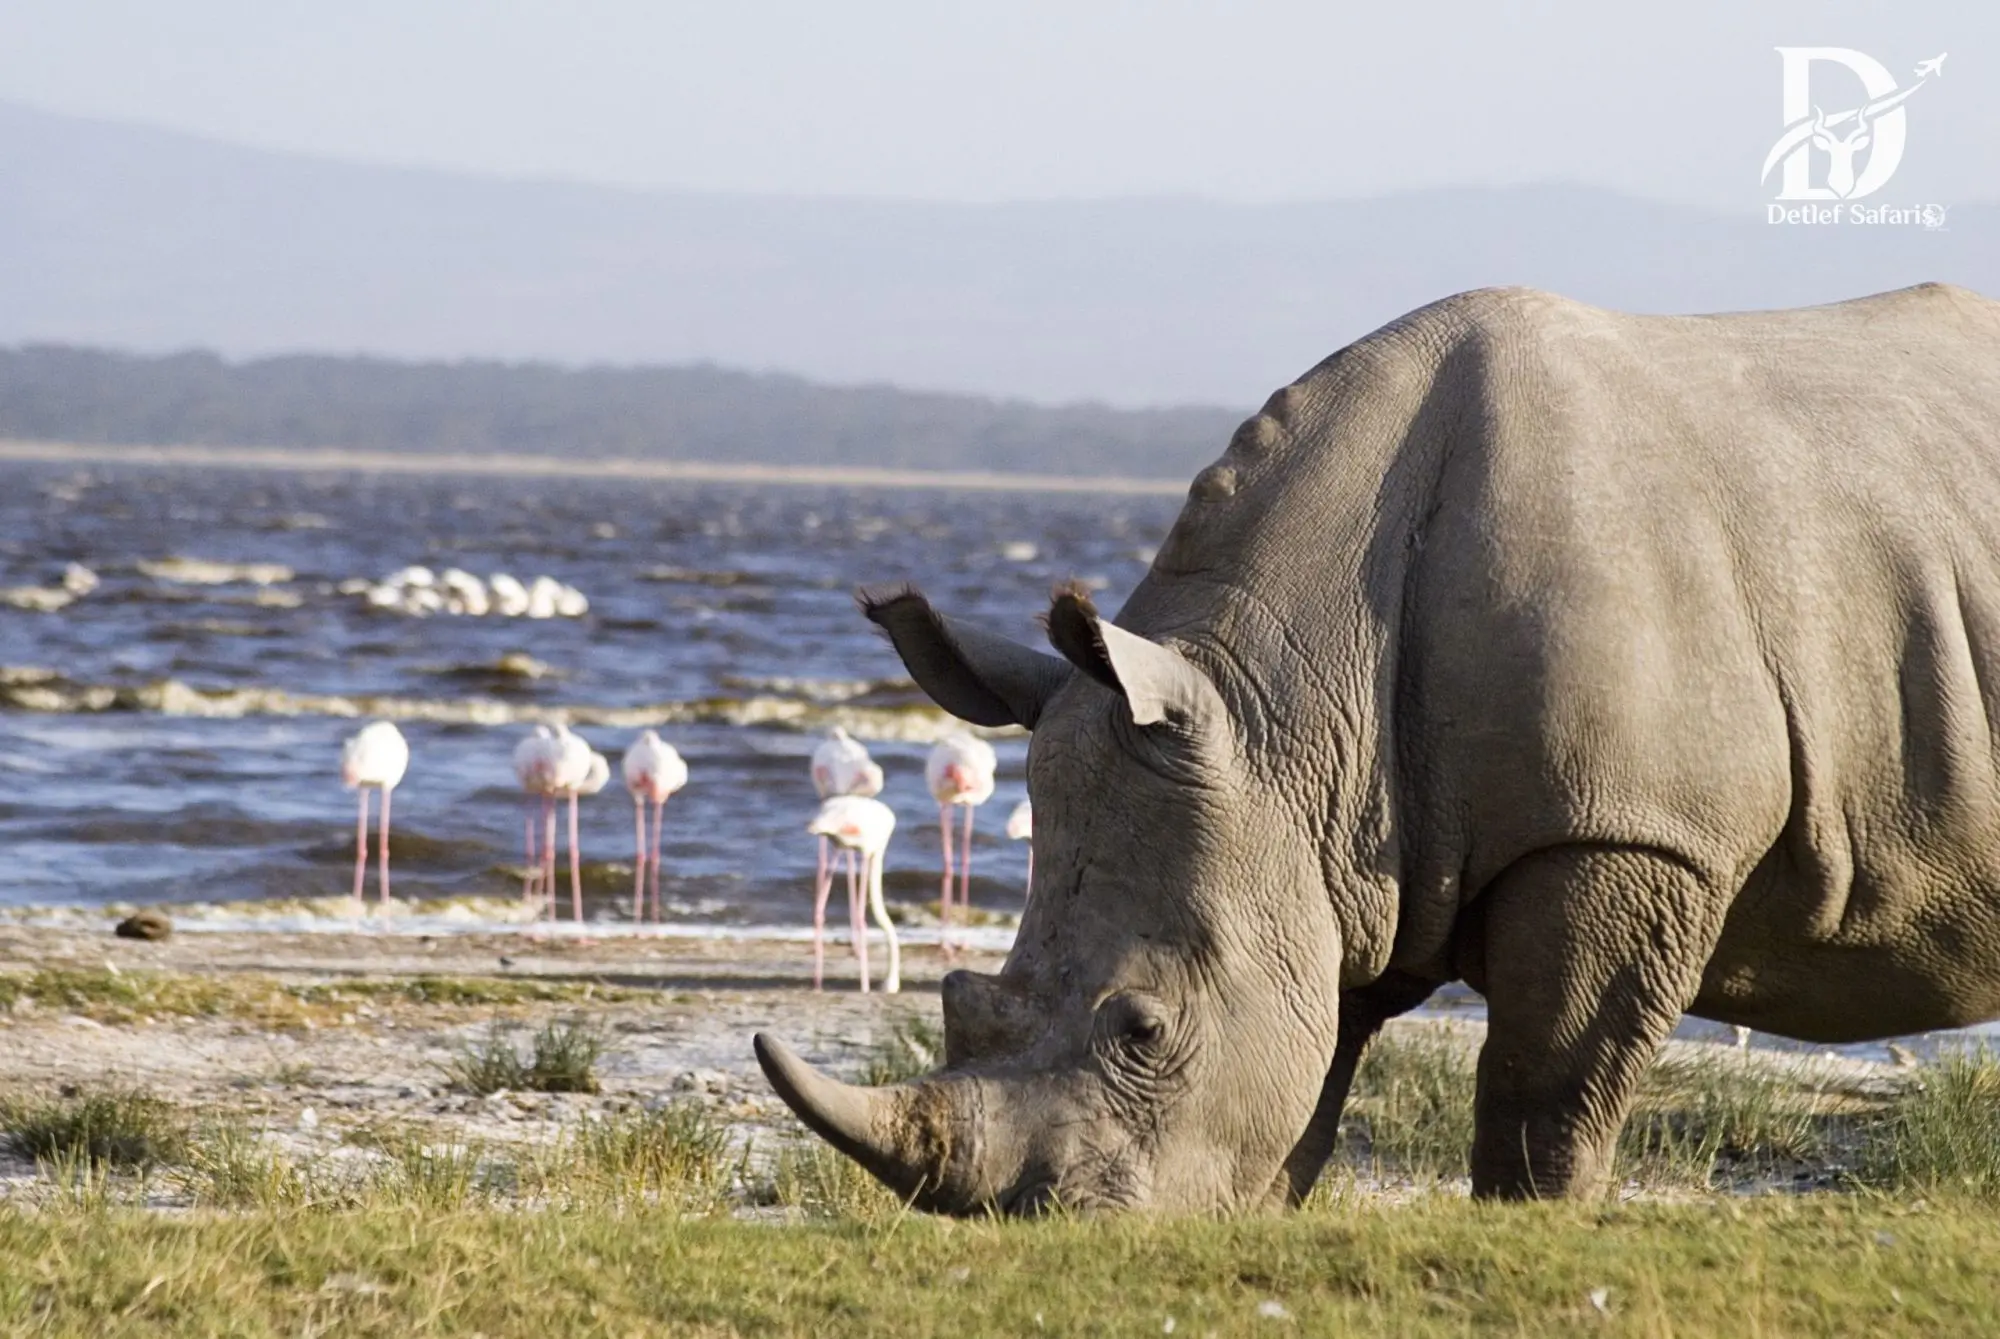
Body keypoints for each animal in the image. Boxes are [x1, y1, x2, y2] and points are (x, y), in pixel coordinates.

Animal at [755, 282, 2000, 1212]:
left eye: (1142, 1028)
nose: (1038, 1225)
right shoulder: (1325, 847)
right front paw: (1246, 1224)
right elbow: (1306, 1078)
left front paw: (1528, 1227)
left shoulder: (1633, 830)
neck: (1285, 711)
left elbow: (1546, 1084)